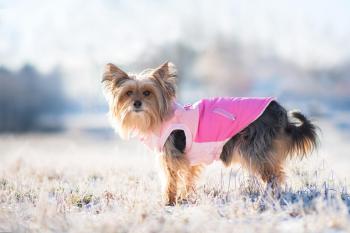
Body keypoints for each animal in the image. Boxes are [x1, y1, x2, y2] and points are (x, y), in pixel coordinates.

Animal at [100, 61, 318, 205]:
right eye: (128, 93)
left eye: (147, 93)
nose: (137, 103)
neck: (161, 117)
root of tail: (279, 110)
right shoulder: (189, 159)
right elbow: (188, 178)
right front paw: (184, 197)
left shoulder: (171, 155)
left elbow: (170, 179)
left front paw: (169, 201)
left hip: (254, 151)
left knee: (274, 177)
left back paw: (270, 197)